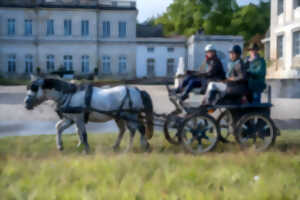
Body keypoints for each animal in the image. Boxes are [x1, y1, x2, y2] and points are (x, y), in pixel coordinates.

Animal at [24, 77, 154, 152]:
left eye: (34, 88)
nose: (26, 103)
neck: (70, 94)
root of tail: (137, 90)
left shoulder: (79, 118)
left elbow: (83, 133)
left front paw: (86, 149)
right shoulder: (71, 119)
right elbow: (60, 128)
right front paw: (61, 146)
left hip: (130, 116)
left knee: (136, 130)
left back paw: (133, 147)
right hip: (120, 117)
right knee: (129, 130)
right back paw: (123, 146)